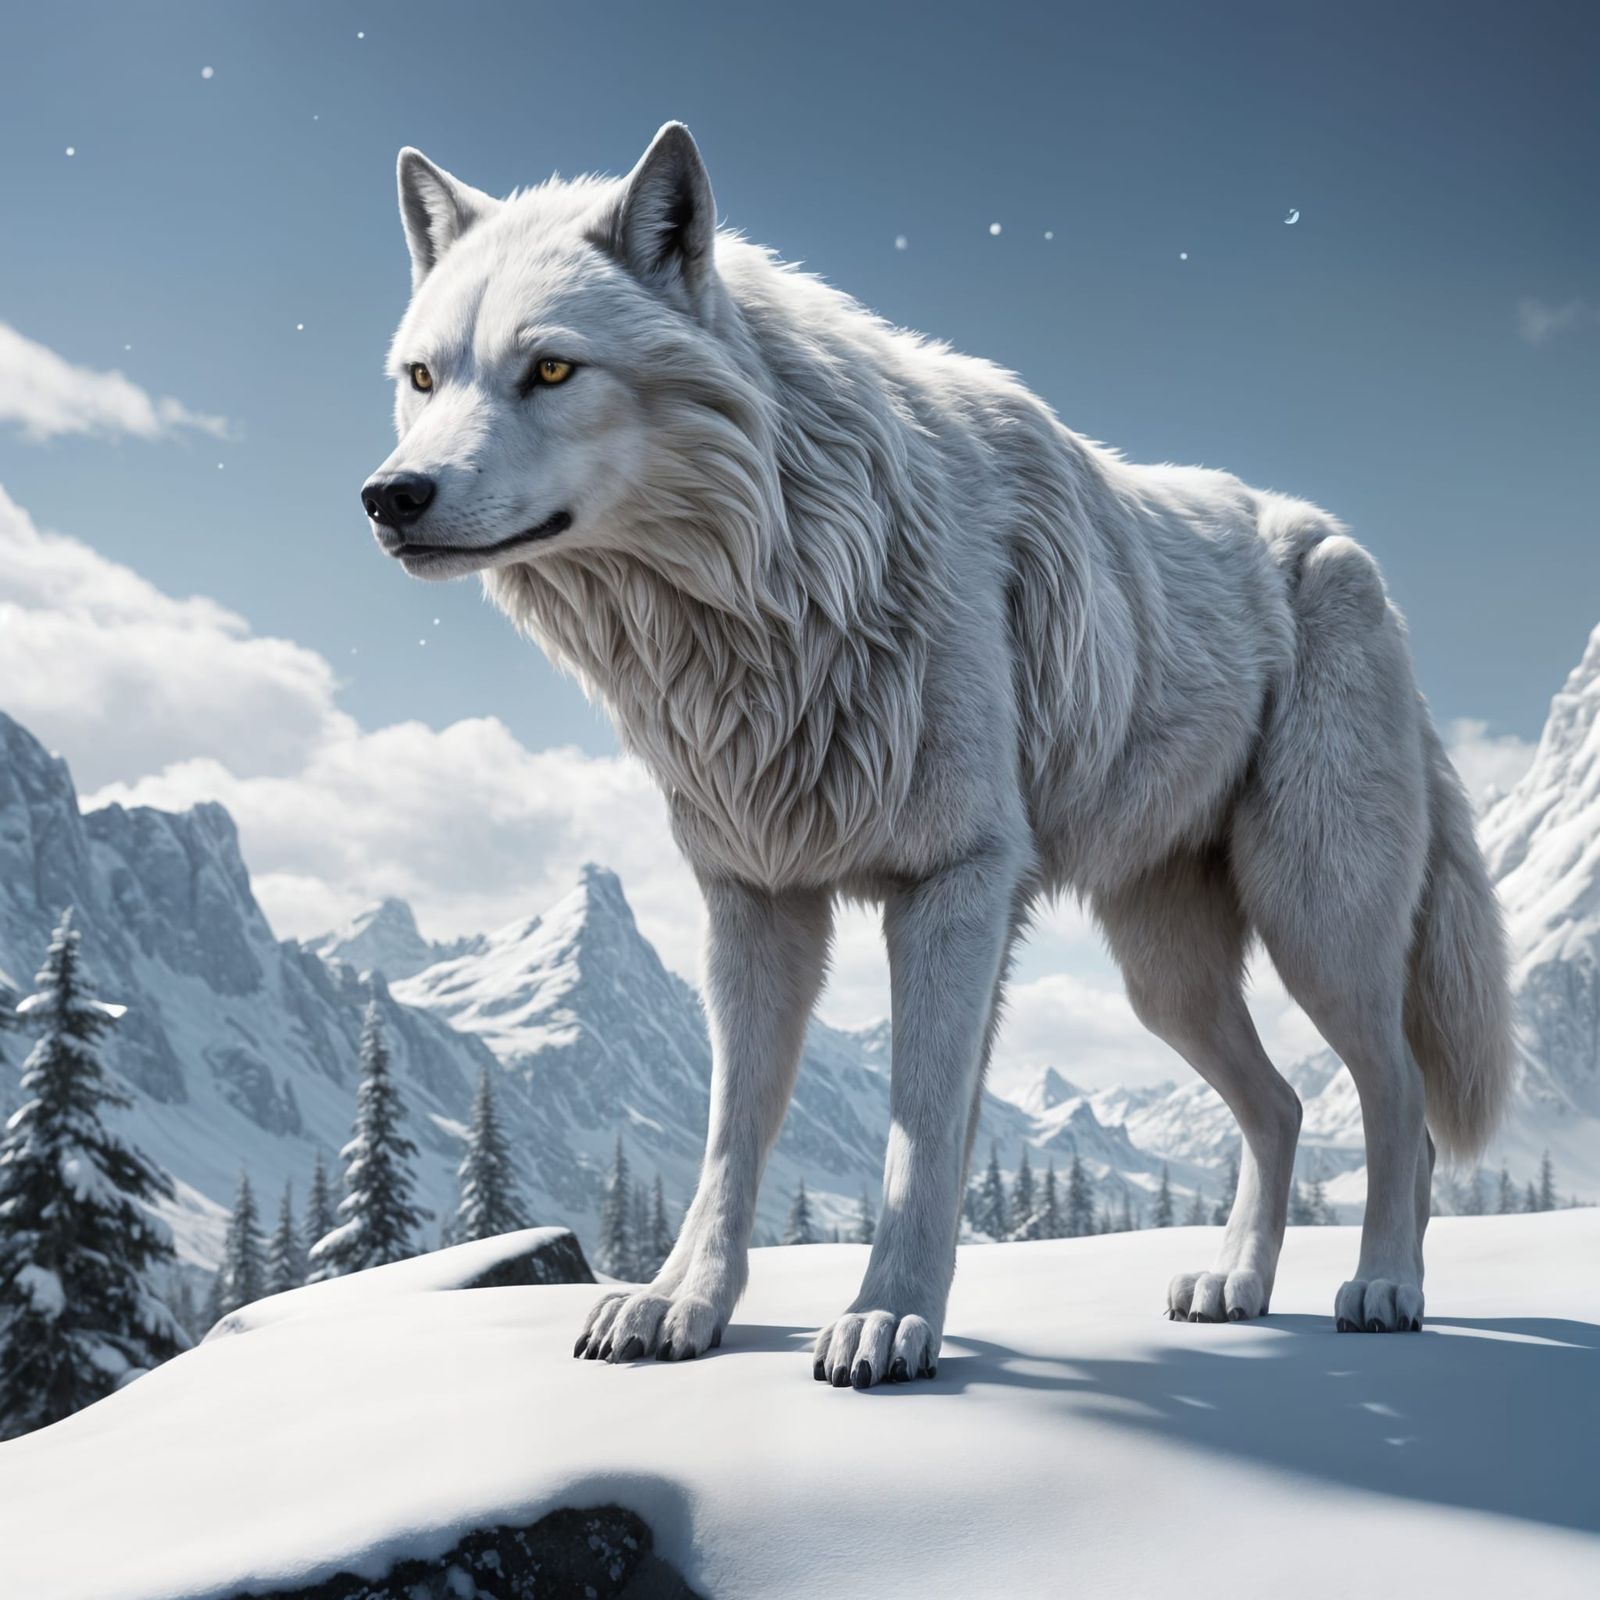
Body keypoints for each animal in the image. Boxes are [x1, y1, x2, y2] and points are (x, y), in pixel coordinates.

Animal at [361, 123, 1512, 1387]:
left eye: (553, 372)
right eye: (424, 379)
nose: (390, 495)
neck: (773, 585)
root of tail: (1350, 555)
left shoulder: (952, 883)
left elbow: (917, 1130)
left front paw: (885, 1319)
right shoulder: (755, 898)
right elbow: (729, 1134)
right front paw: (682, 1304)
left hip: (1315, 919)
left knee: (1397, 1095)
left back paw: (1386, 1285)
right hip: (1164, 975)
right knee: (1281, 1106)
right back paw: (1236, 1287)